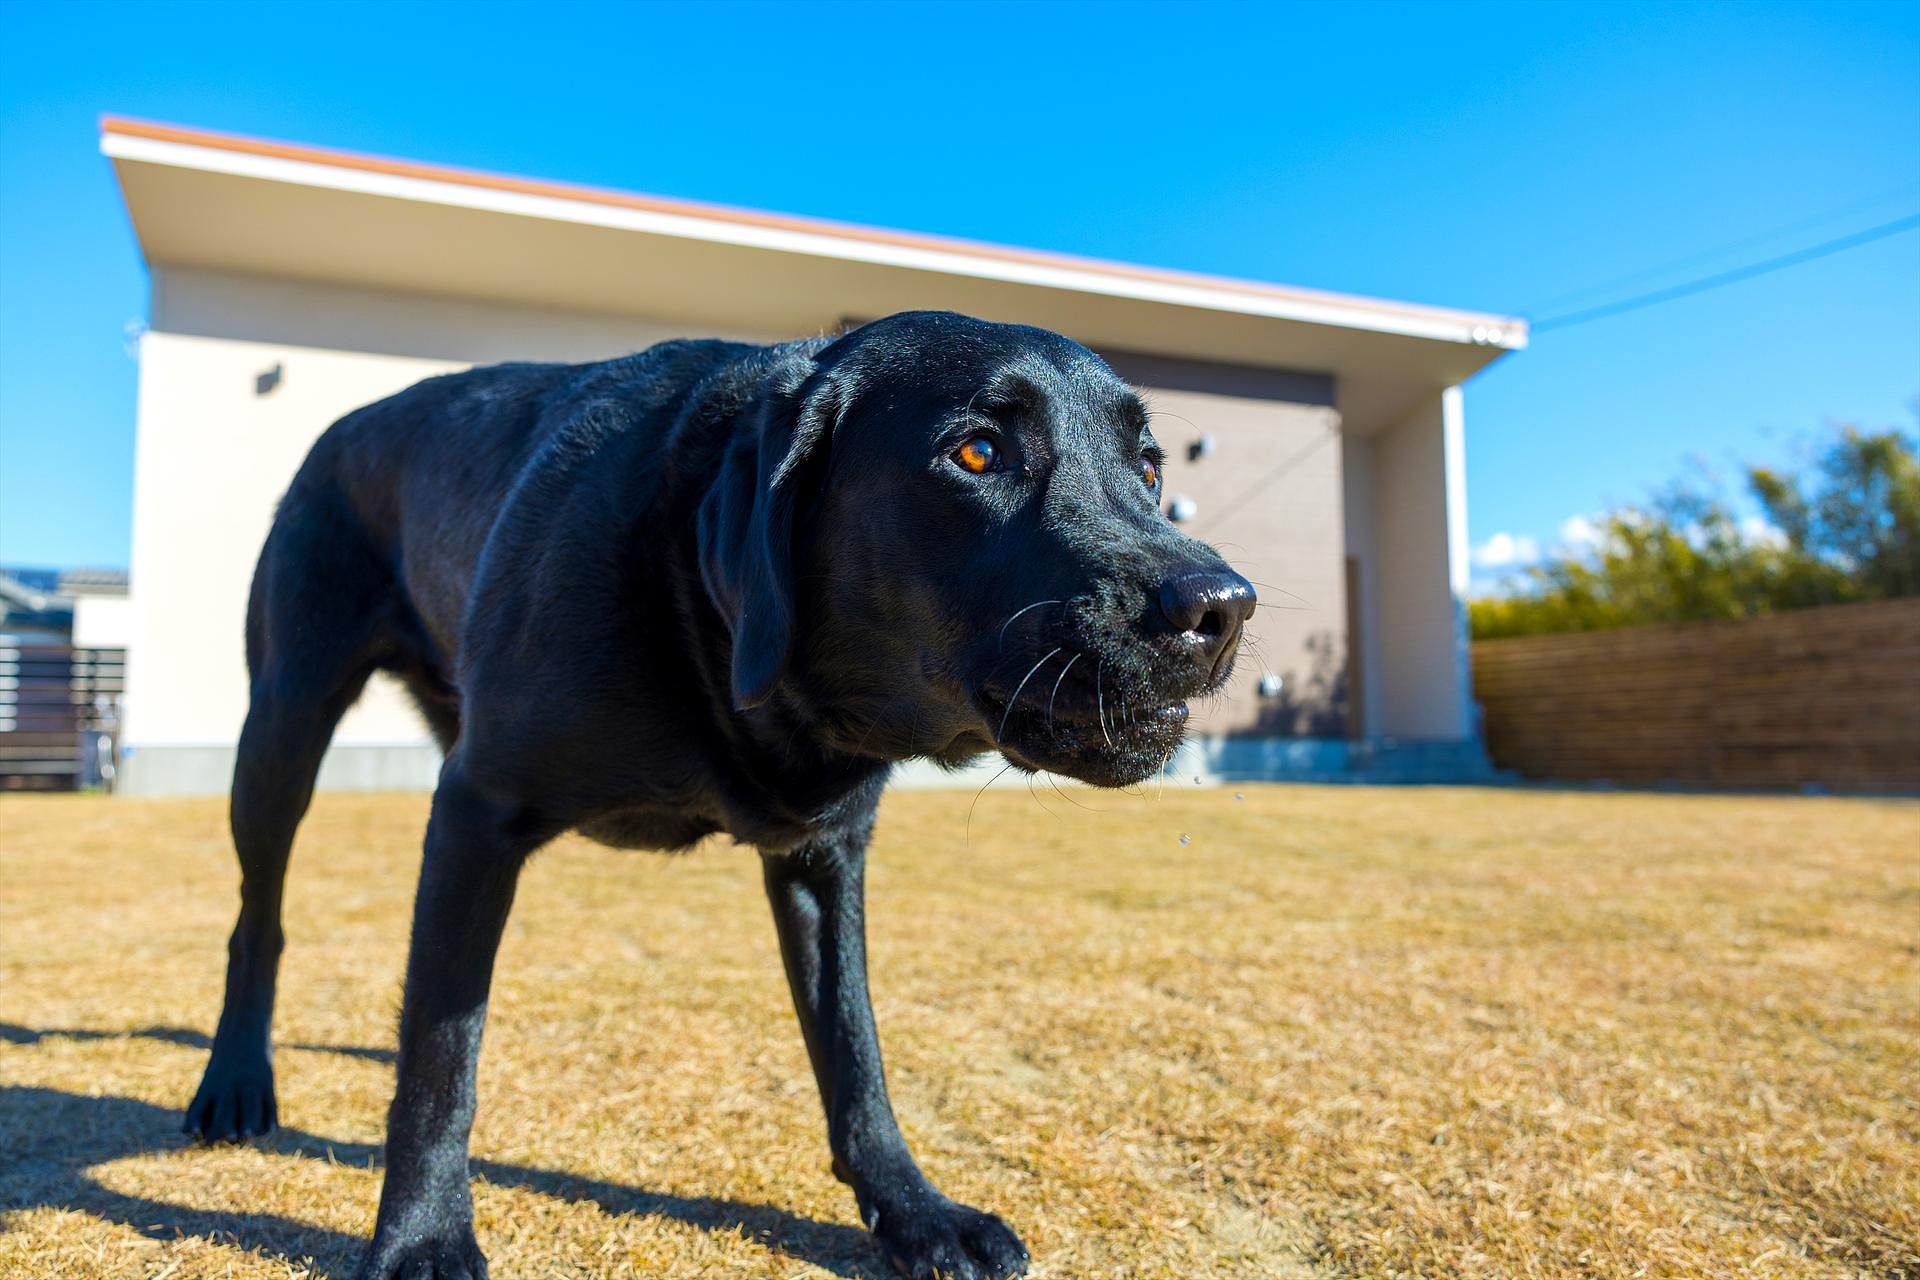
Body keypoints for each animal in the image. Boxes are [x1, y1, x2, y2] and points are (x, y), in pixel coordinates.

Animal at [180, 312, 1259, 1280]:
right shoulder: (475, 811)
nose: (1221, 605)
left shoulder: (824, 854)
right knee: (258, 919)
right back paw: (235, 1081)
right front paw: (421, 1238)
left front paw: (915, 1211)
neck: (701, 612)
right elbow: (442, 1058)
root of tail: (346, 421)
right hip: (281, 725)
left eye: (1151, 466)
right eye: (977, 451)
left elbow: (854, 1048)